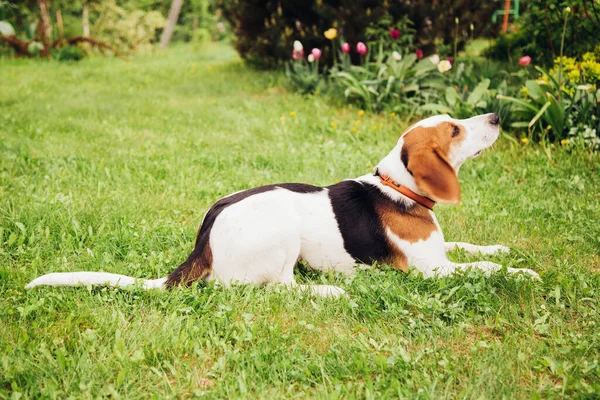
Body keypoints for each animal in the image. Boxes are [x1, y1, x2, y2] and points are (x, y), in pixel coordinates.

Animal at [25, 112, 540, 296]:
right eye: (454, 130)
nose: (496, 115)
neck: (399, 188)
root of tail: (204, 243)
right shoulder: (432, 270)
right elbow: (484, 269)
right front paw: (524, 272)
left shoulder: (442, 251)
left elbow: (477, 250)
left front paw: (503, 251)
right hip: (283, 232)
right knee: (272, 288)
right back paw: (329, 291)